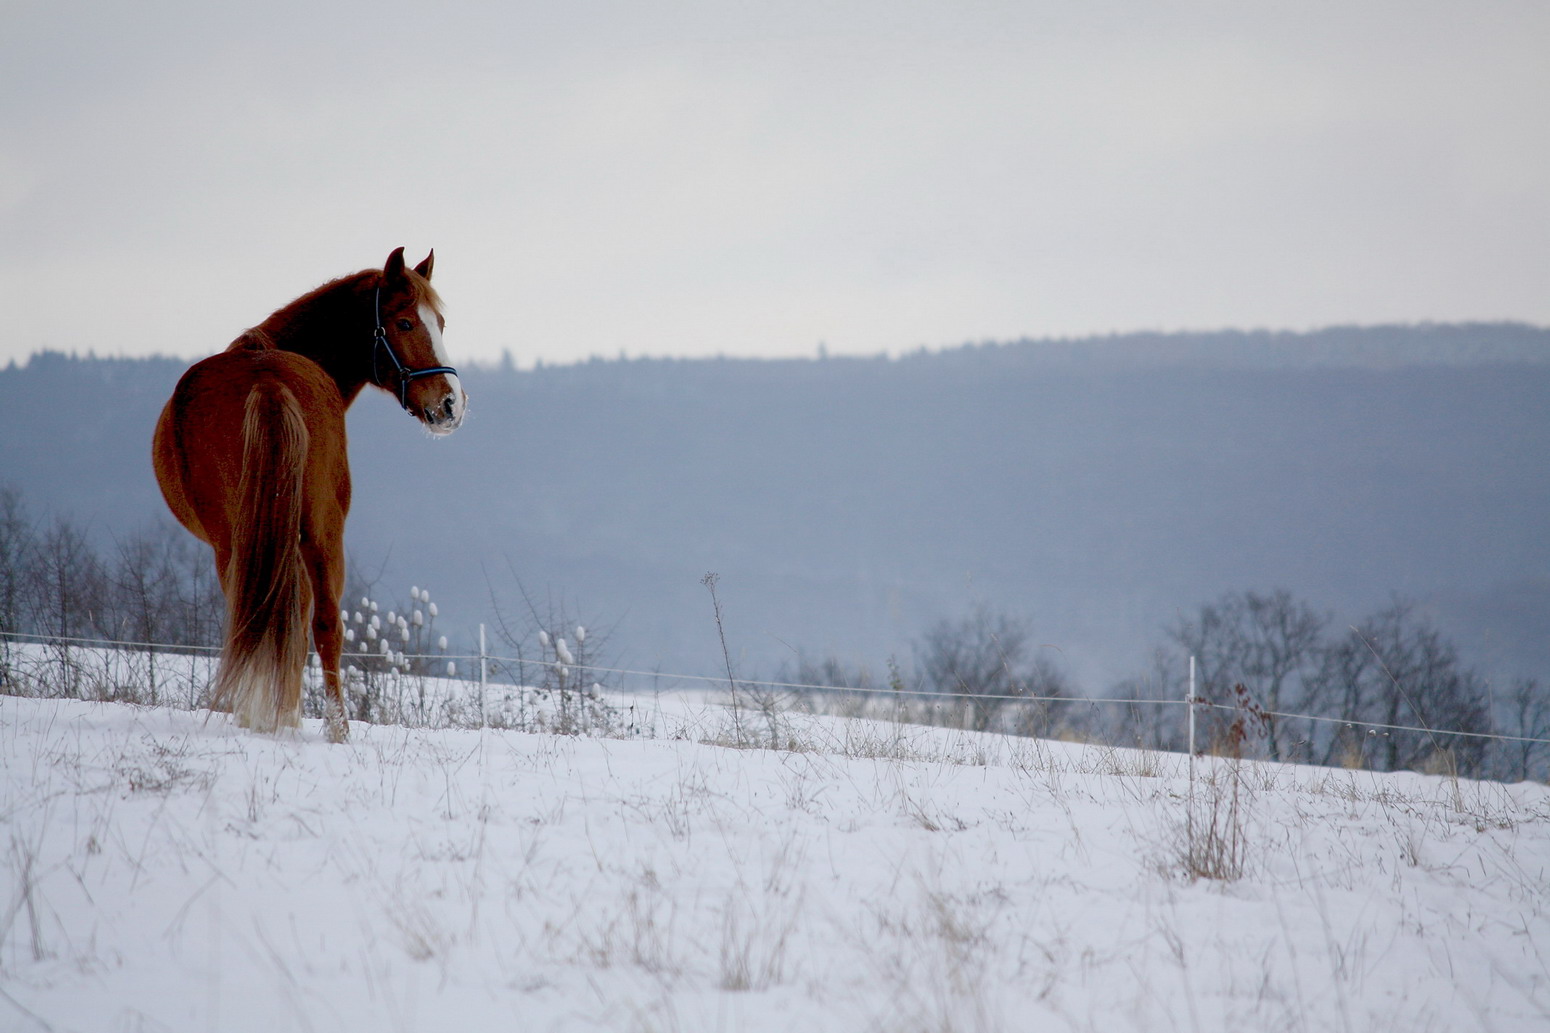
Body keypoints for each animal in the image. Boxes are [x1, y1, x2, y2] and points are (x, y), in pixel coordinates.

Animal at [150, 245, 465, 735]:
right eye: (405, 323)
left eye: (441, 323)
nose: (450, 403)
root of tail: (267, 379)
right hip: (319, 531)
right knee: (325, 624)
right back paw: (333, 729)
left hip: (241, 542)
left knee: (265, 620)